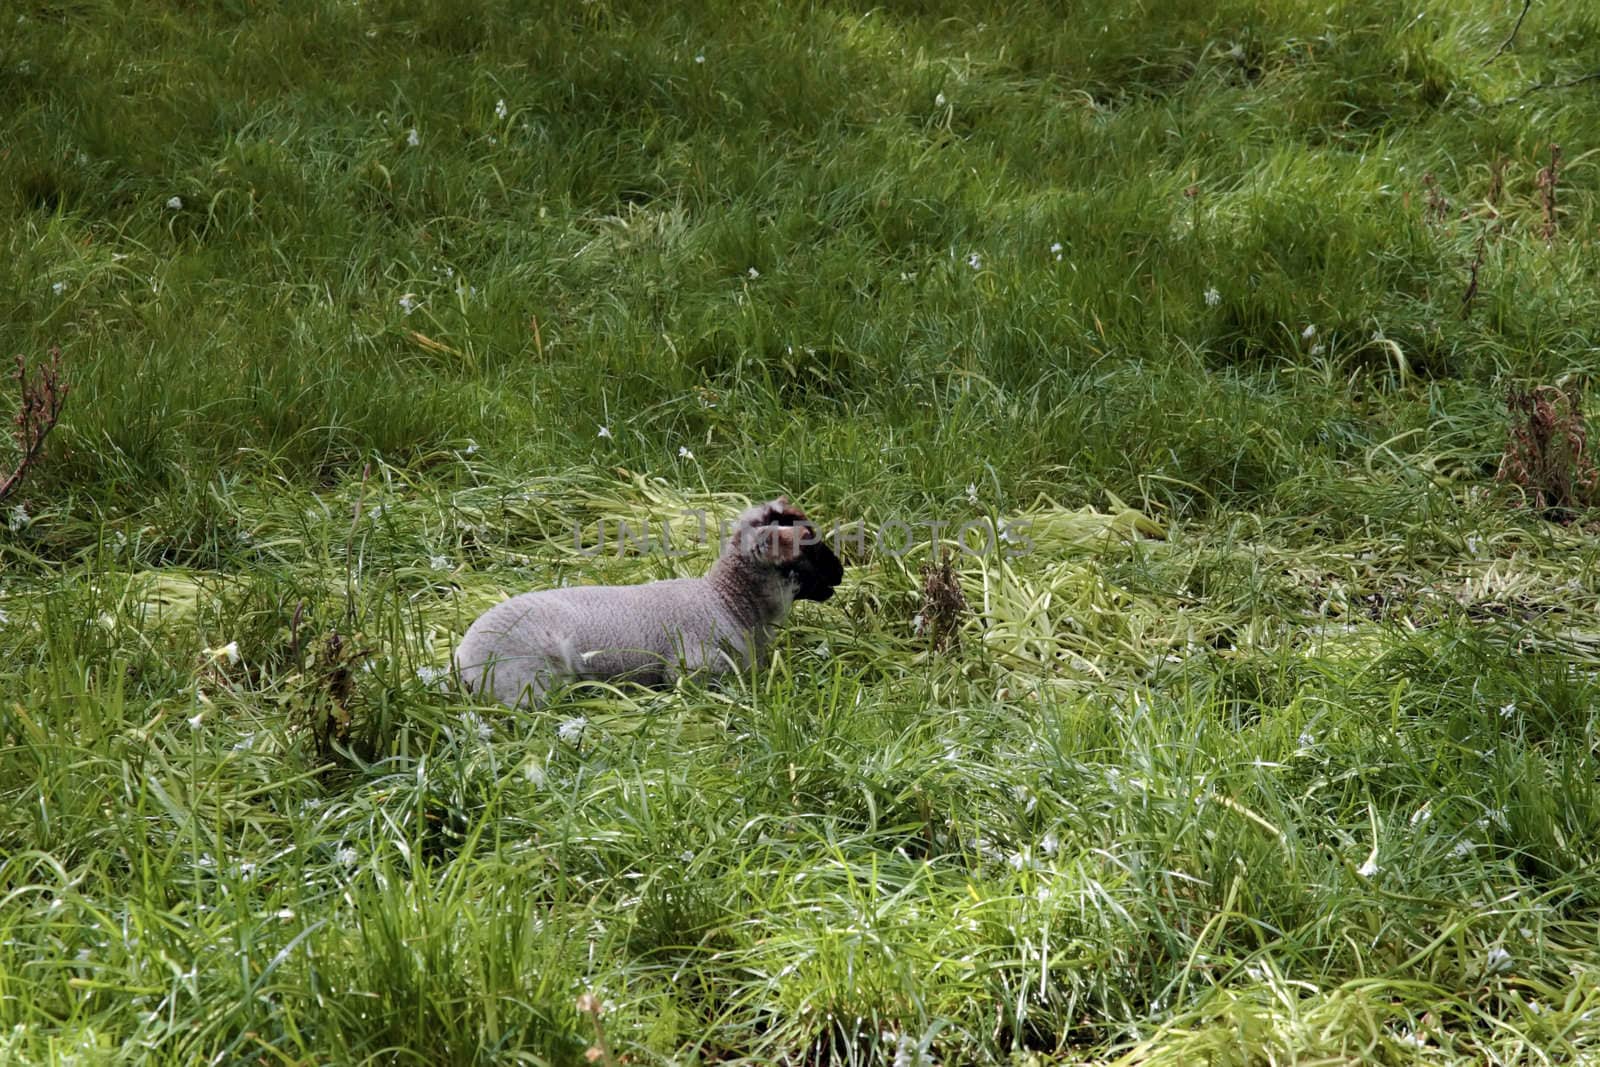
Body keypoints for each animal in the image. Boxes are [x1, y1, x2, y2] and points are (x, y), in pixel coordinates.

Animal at [454, 499, 851, 710]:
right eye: (808, 543)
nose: (841, 572)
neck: (726, 601)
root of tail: (461, 660)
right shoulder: (693, 670)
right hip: (531, 685)